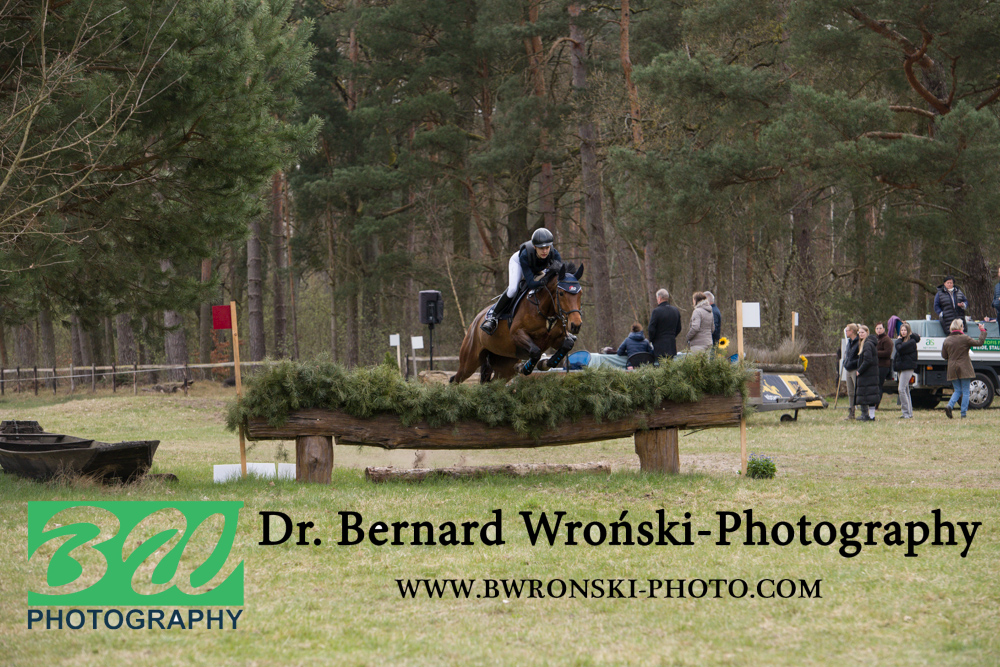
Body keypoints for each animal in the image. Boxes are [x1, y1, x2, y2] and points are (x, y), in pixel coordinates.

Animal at [451, 263, 584, 383]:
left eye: (580, 293)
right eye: (561, 293)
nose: (576, 325)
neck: (545, 311)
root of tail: (476, 320)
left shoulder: (554, 340)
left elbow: (567, 345)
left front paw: (544, 363)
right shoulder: (517, 334)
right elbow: (536, 352)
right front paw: (524, 368)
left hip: (505, 366)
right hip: (470, 361)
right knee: (455, 379)